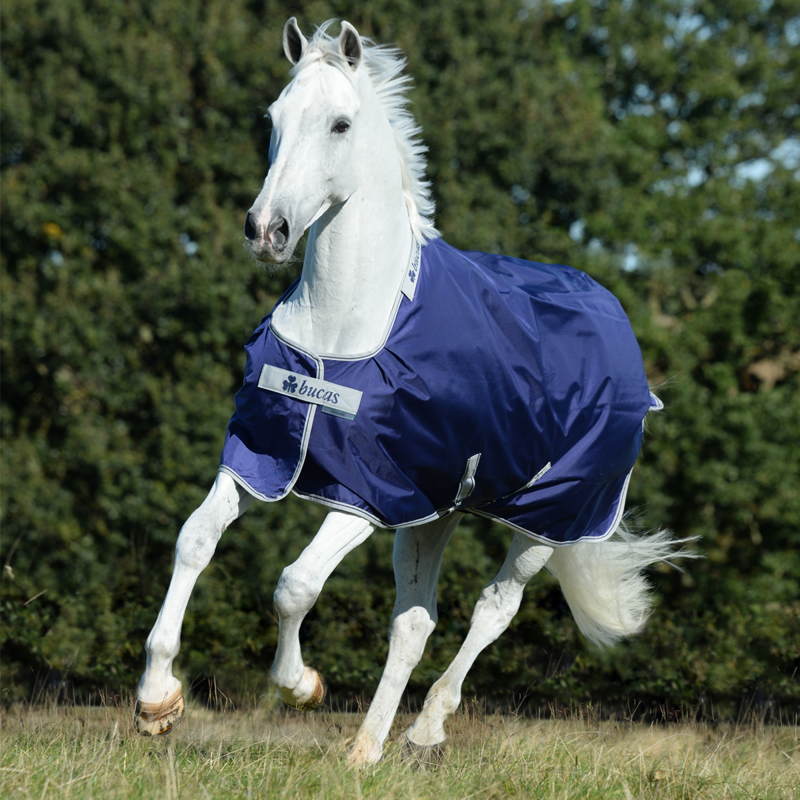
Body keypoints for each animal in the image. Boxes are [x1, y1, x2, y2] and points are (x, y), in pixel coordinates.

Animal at [134, 19, 692, 766]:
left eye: (340, 124)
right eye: (274, 118)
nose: (266, 231)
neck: (344, 327)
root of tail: (621, 330)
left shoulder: (368, 495)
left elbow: (295, 585)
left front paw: (302, 686)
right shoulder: (262, 457)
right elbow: (195, 539)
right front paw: (156, 701)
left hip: (548, 520)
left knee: (493, 608)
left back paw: (425, 729)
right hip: (436, 515)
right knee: (415, 621)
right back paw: (366, 749)